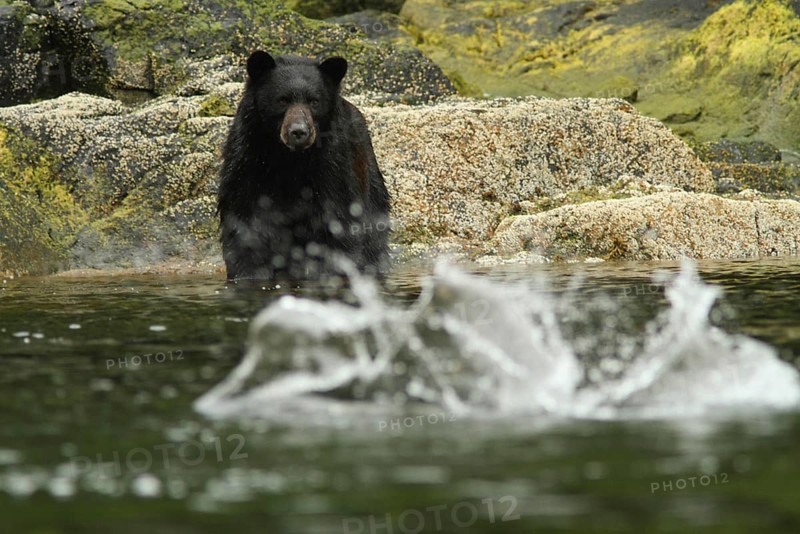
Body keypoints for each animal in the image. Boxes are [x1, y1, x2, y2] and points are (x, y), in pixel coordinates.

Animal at [217, 50, 391, 281]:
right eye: (282, 100)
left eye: (314, 101)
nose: (299, 132)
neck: (290, 158)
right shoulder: (247, 160)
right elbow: (246, 225)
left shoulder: (333, 167)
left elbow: (336, 227)